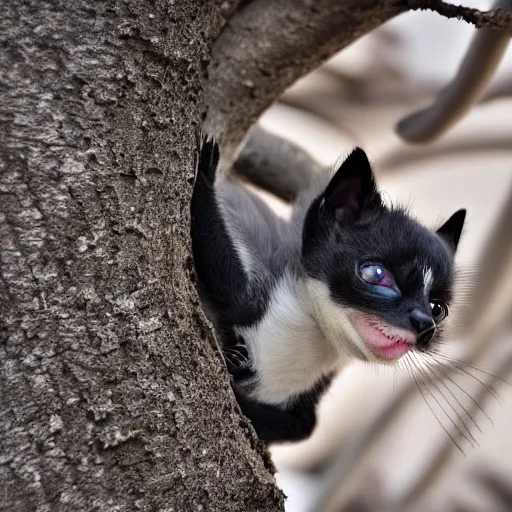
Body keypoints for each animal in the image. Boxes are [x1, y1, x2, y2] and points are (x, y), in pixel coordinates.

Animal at [190, 137, 466, 444]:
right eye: (375, 274)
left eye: (438, 309)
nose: (424, 323)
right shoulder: (246, 293)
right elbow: (219, 260)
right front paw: (205, 175)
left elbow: (304, 425)